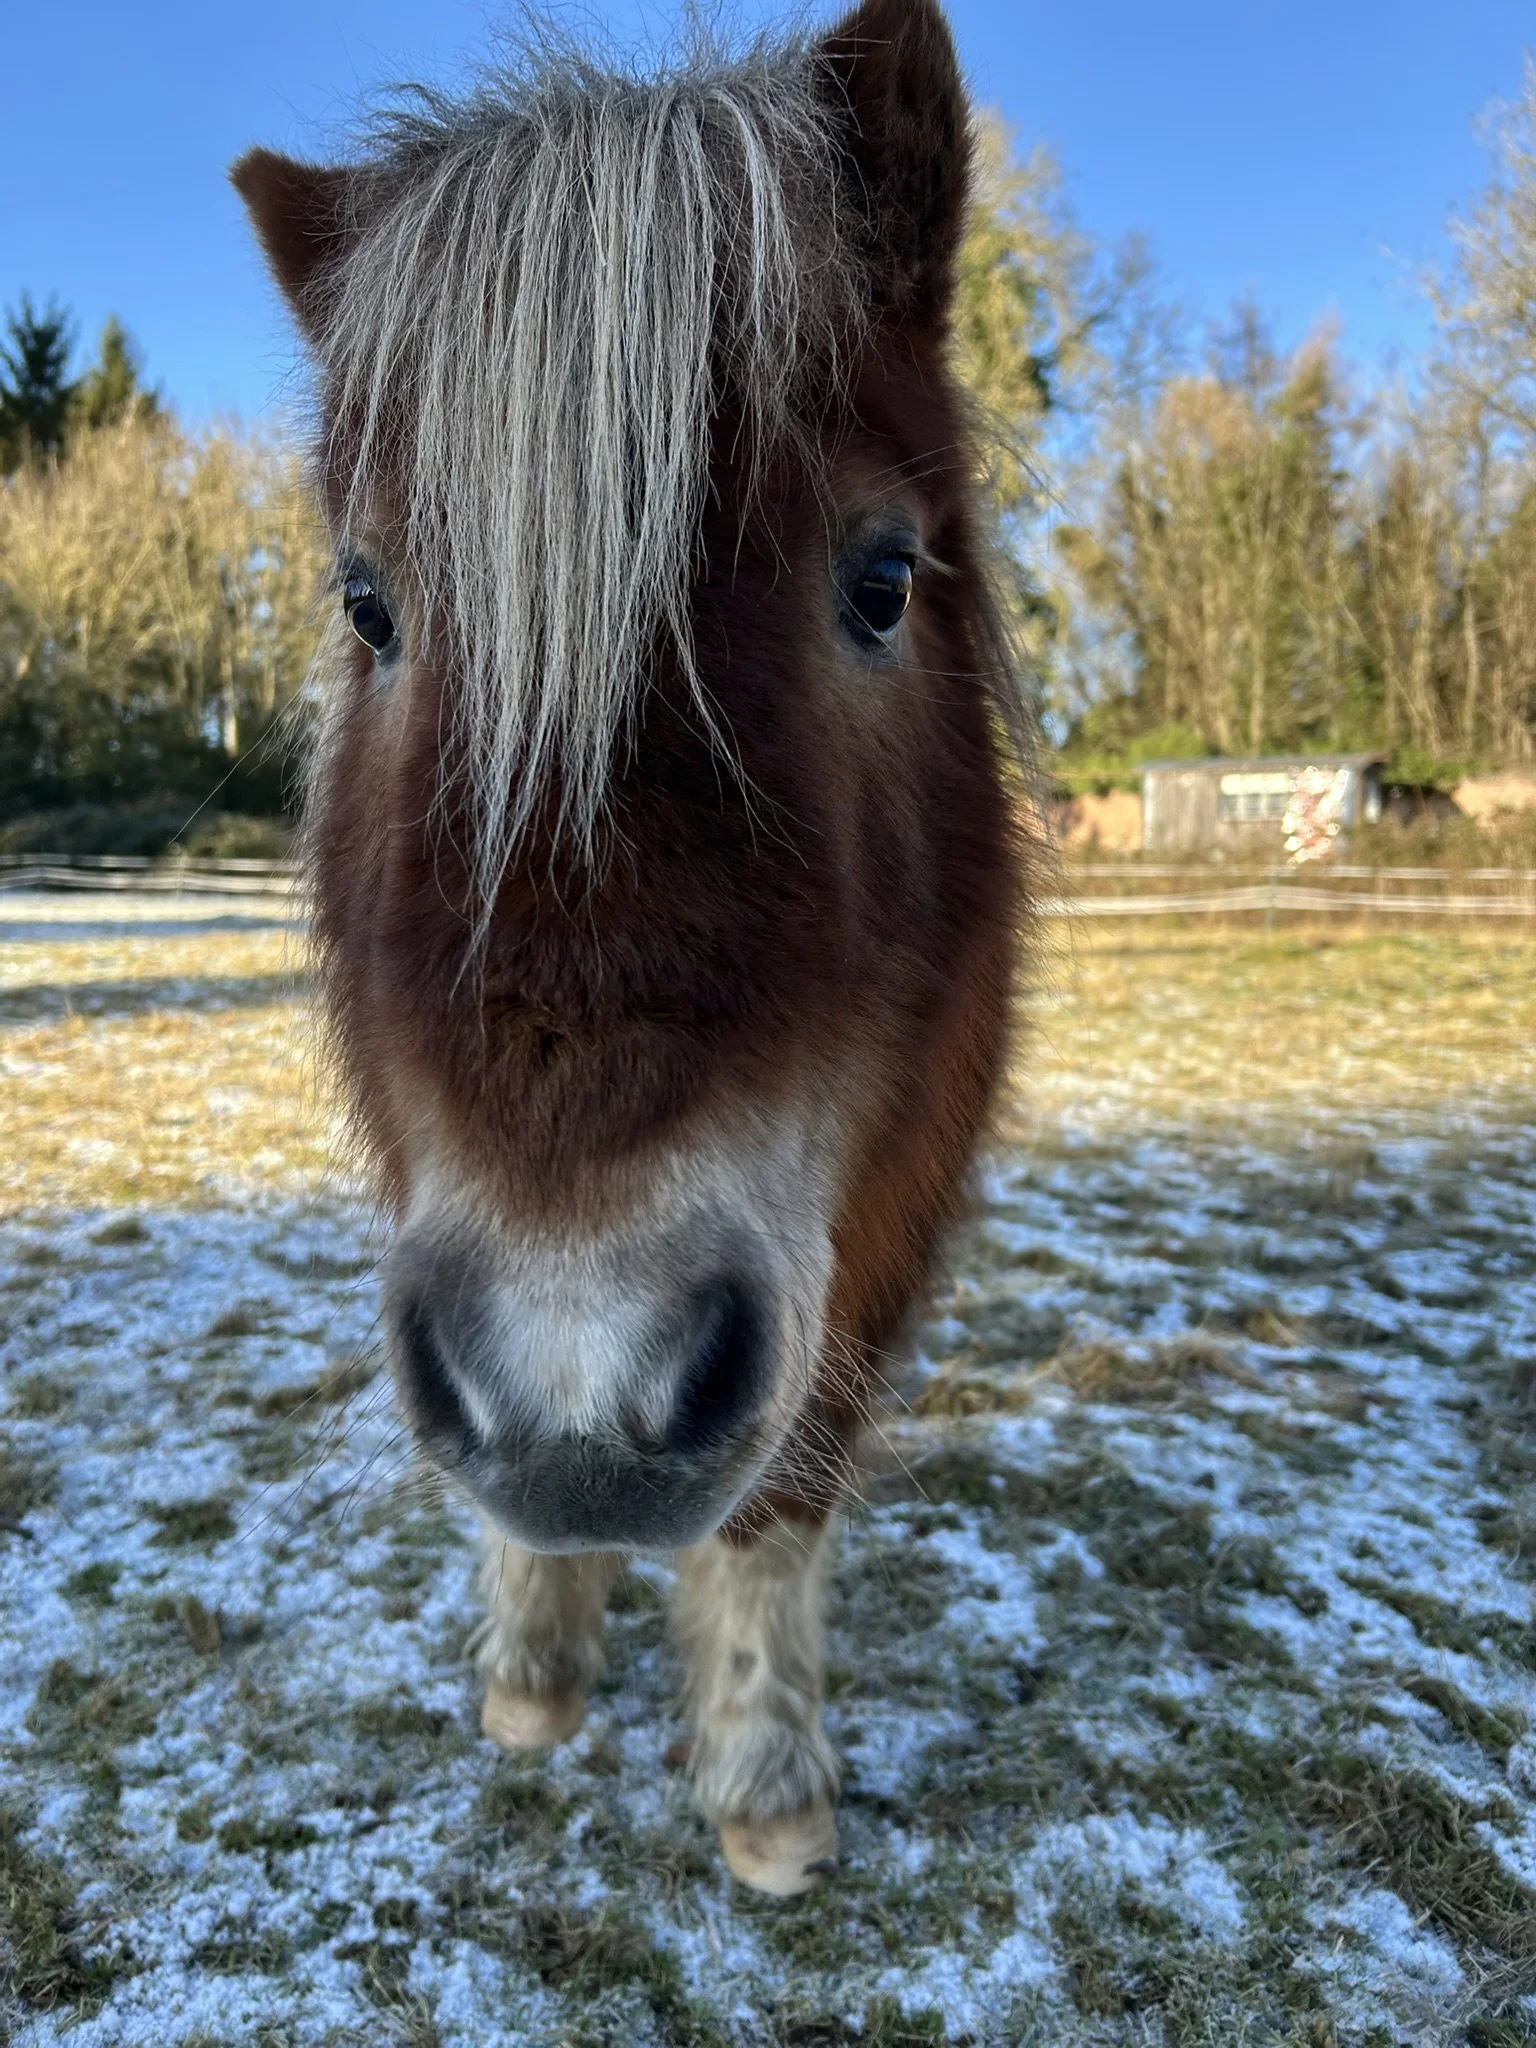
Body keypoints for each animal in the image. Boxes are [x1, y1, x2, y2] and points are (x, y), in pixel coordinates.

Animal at [234, 0, 1027, 1897]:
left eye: (883, 578)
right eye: (367, 604)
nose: (581, 1398)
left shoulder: (881, 1217)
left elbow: (782, 1504)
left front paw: (767, 1783)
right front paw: (533, 1666)